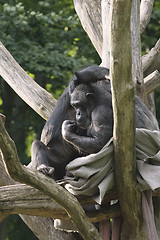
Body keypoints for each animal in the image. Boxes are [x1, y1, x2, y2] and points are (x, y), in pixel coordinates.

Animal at [29, 64, 159, 179]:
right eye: (75, 106)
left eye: (79, 105)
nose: (78, 113)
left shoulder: (100, 113)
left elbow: (99, 142)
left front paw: (67, 131)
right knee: (38, 144)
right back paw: (43, 167)